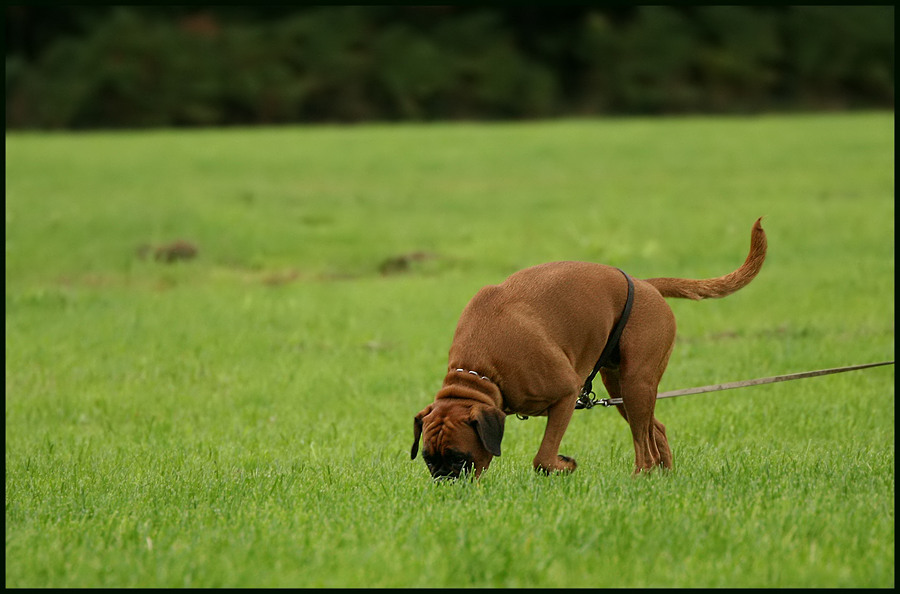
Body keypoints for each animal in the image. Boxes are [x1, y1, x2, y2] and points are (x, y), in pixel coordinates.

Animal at [410, 217, 768, 476]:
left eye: (460, 458)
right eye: (428, 458)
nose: (443, 481)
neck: (482, 371)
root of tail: (646, 285)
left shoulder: (566, 395)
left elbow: (543, 457)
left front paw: (564, 466)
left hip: (636, 384)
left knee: (644, 447)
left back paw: (640, 478)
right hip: (621, 388)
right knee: (655, 430)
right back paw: (664, 477)